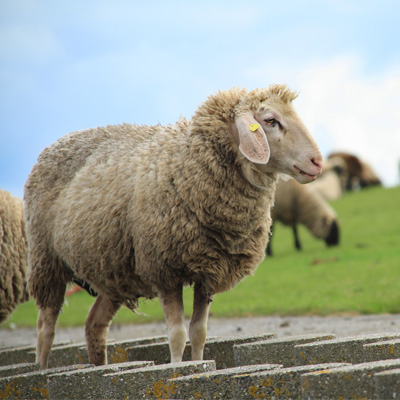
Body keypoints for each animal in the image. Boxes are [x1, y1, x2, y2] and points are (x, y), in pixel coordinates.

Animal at [25, 85, 324, 368]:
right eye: (270, 120)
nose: (318, 162)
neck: (190, 166)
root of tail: (56, 143)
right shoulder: (164, 270)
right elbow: (177, 335)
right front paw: (178, 369)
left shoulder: (209, 271)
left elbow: (199, 332)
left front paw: (199, 365)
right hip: (46, 260)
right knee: (45, 328)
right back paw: (43, 370)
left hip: (111, 271)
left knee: (94, 325)